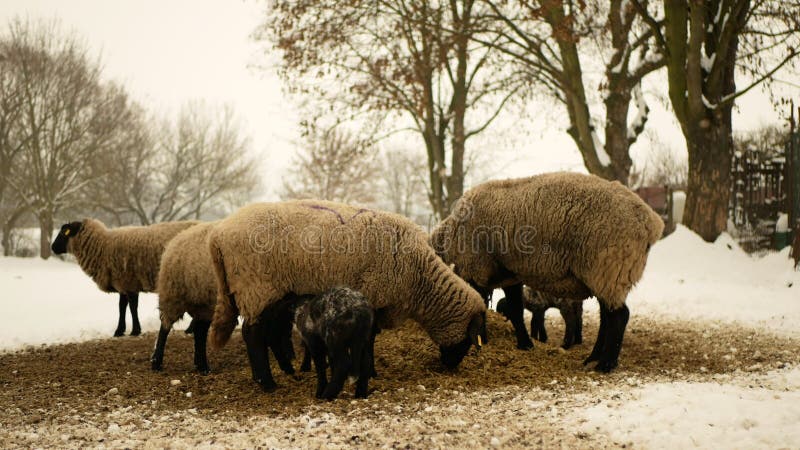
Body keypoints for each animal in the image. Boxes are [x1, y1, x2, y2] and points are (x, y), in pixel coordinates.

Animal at [50, 218, 200, 338]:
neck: (103, 247)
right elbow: (122, 307)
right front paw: (119, 330)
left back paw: (190, 329)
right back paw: (190, 329)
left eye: (63, 233)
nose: (52, 247)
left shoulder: (129, 282)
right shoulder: (122, 283)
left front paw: (135, 330)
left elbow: (133, 307)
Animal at [148, 222, 298, 380]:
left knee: (200, 332)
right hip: (173, 294)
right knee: (165, 328)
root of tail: (176, 239)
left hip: (205, 303)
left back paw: (202, 367)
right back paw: (156, 362)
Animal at [203, 199, 484, 392]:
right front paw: (368, 372)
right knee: (253, 334)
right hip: (256, 287)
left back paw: (281, 373)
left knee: (267, 334)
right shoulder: (374, 295)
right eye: (470, 341)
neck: (419, 280)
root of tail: (217, 235)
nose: (450, 366)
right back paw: (267, 383)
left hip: (268, 294)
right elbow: (369, 339)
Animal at [432, 172, 664, 372]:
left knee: (619, 317)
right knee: (606, 317)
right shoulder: (509, 275)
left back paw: (605, 364)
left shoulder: (476, 270)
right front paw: (525, 344)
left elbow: (483, 309)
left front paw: (486, 341)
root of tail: (651, 222)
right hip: (605, 275)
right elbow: (516, 311)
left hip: (608, 269)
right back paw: (593, 358)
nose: (446, 362)